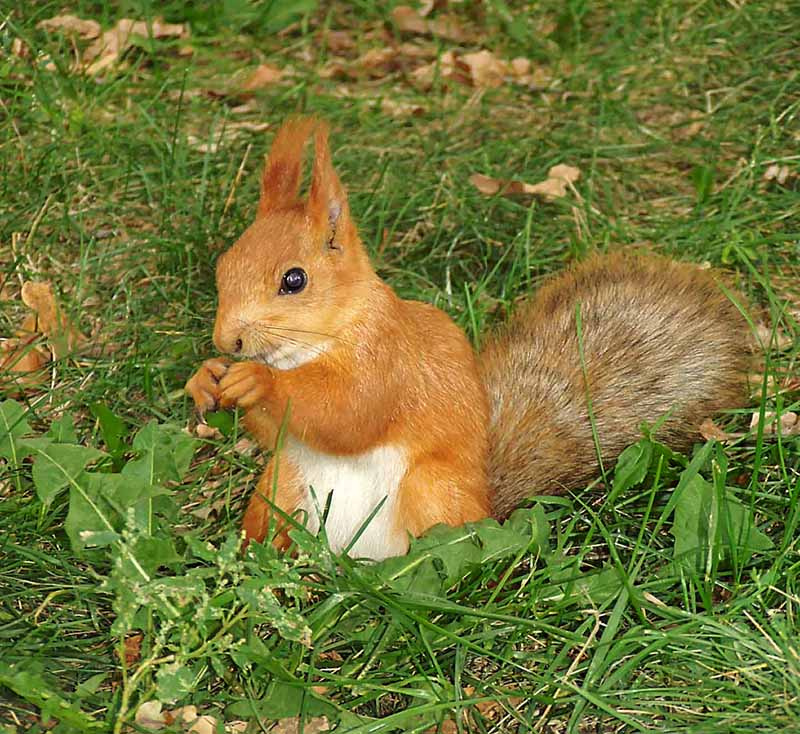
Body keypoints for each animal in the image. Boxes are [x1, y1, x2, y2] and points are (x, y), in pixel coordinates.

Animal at [185, 117, 752, 560]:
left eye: (294, 279)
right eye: (223, 265)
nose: (228, 341)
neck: (310, 347)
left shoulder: (389, 357)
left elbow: (351, 413)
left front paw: (258, 382)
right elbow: (277, 431)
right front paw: (204, 379)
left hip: (431, 493)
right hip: (280, 490)